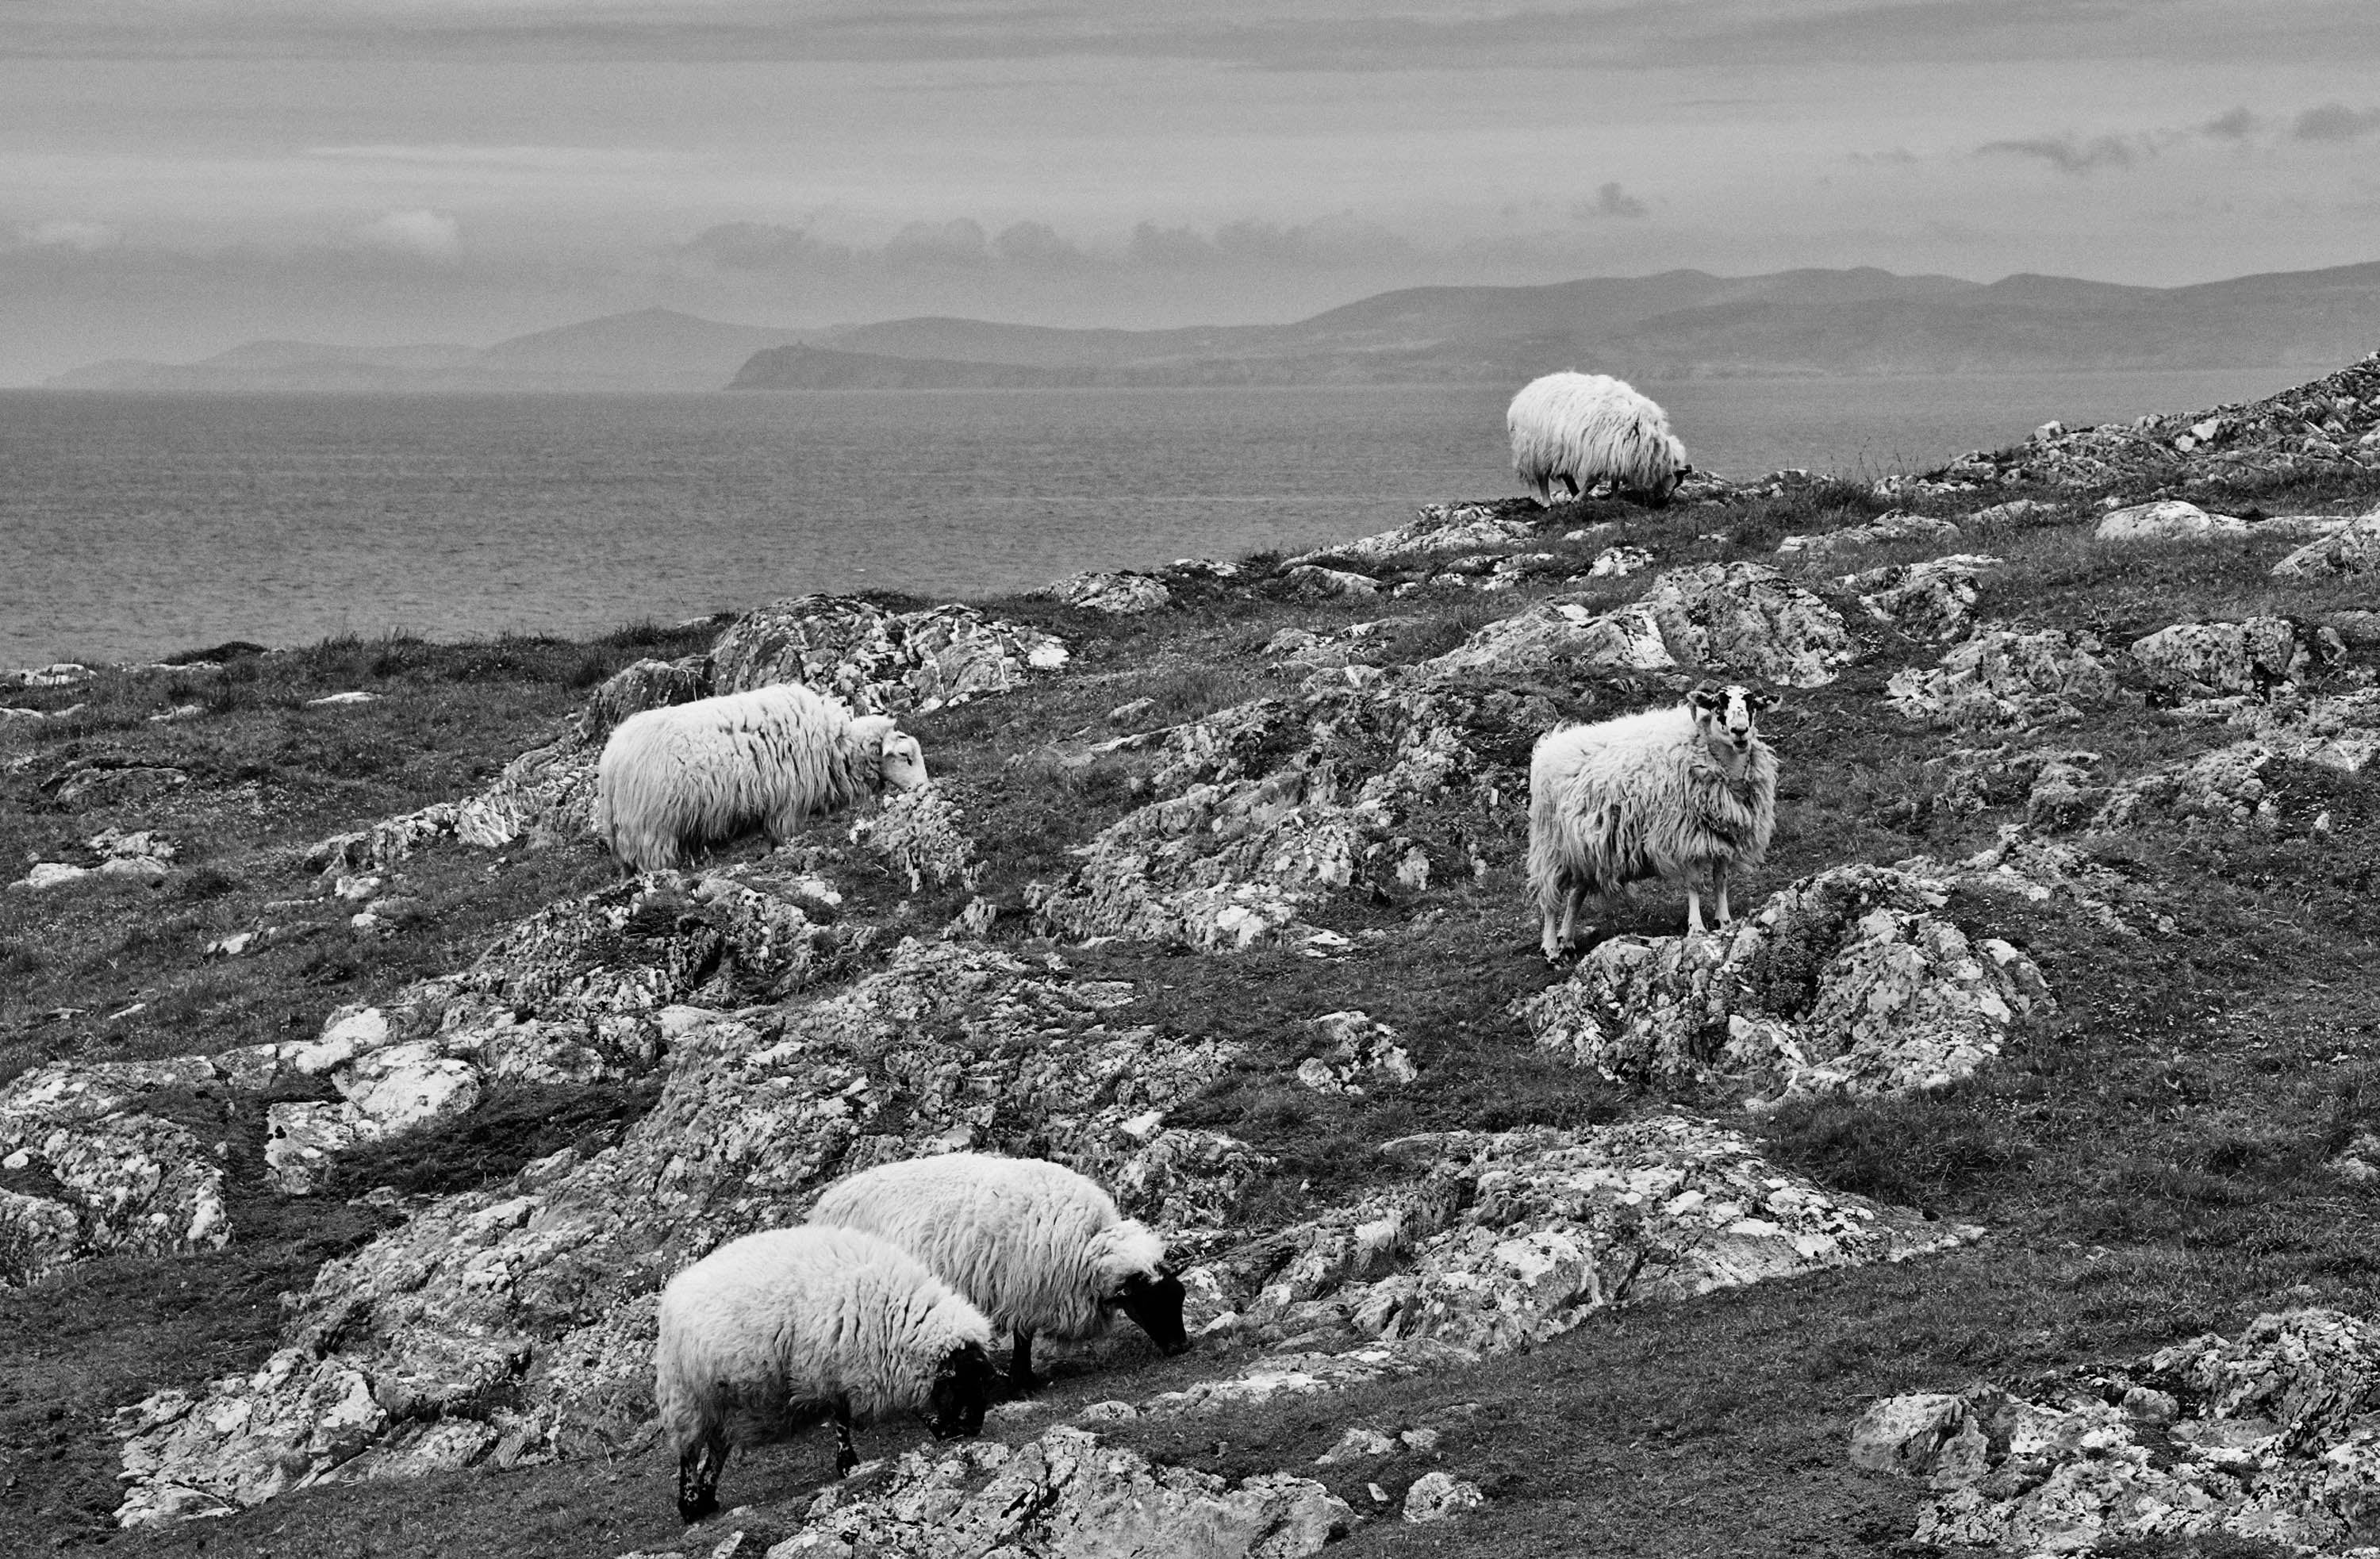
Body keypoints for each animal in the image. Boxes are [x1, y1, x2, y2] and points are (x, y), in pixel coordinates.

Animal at [591, 682, 928, 871]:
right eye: (905, 756)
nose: (924, 789)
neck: (838, 744)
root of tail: (612, 760)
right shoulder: (788, 805)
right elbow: (781, 838)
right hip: (651, 828)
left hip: (624, 833)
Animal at [654, 1224, 997, 1523]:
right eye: (962, 1382)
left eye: (983, 1382)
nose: (974, 1428)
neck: (891, 1313)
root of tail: (674, 1288)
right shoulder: (827, 1371)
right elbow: (842, 1418)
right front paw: (848, 1464)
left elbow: (915, 1406)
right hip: (687, 1397)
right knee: (689, 1452)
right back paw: (689, 1506)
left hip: (724, 1405)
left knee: (716, 1450)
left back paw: (708, 1498)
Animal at [808, 1152, 1189, 1394]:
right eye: (1150, 1303)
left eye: (1179, 1298)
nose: (1182, 1347)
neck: (1087, 1245)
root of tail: (826, 1203)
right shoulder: (1024, 1289)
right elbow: (1023, 1337)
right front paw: (1022, 1383)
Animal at [1507, 371, 1690, 507]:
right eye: (1673, 480)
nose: (1663, 503)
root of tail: (1527, 391)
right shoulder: (1603, 452)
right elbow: (1593, 481)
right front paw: (1577, 500)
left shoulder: (1617, 453)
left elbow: (1615, 479)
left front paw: (1614, 498)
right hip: (1535, 447)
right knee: (1542, 476)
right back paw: (1548, 503)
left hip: (1561, 449)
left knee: (1566, 475)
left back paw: (1575, 493)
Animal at [1528, 681, 1778, 957]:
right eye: (1718, 703)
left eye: (1752, 704)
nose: (1740, 731)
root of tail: (1549, 744)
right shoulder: (1684, 836)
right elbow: (1694, 884)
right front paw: (1697, 928)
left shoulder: (1721, 835)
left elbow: (1720, 881)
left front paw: (1724, 921)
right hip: (1551, 845)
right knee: (1549, 898)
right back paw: (1551, 946)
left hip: (1585, 849)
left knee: (1576, 894)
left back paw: (1568, 939)